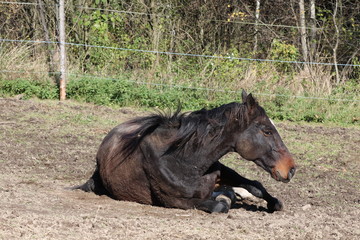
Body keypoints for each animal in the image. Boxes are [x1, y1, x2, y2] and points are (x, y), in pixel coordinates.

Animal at [73, 91, 296, 213]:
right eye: (267, 131)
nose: (291, 169)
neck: (183, 160)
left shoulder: (221, 170)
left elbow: (256, 186)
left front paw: (274, 203)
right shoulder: (176, 201)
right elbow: (220, 206)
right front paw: (223, 200)